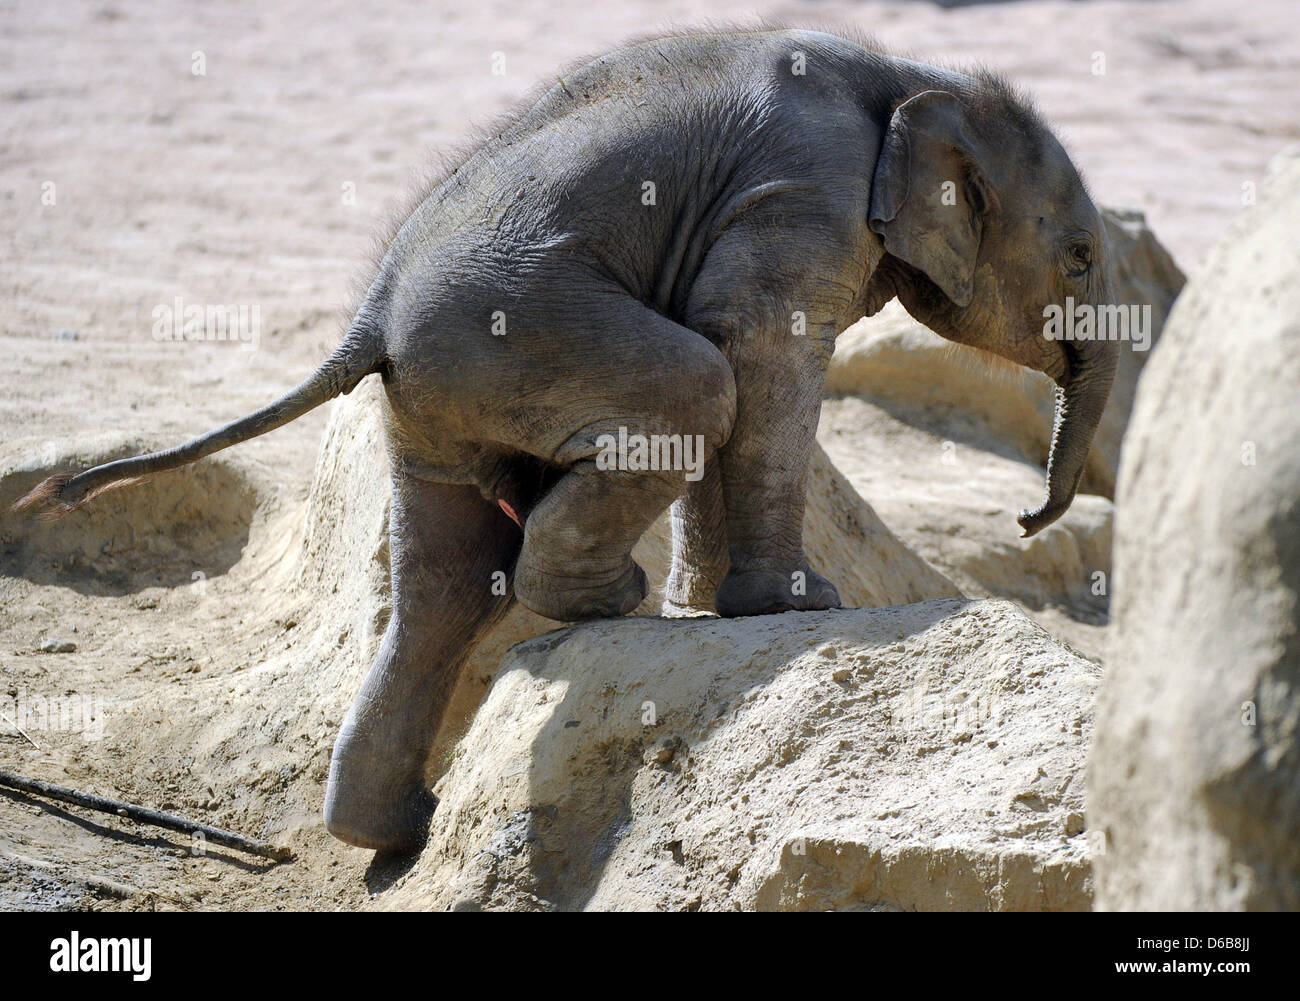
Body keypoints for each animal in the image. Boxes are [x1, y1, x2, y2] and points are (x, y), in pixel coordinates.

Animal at [17, 27, 1118, 847]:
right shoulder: (805, 195)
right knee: (692, 387)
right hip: (517, 330)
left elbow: (748, 359)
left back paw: (391, 829)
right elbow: (759, 350)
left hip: (438, 400)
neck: (913, 74)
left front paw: (712, 613)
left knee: (448, 575)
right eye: (1078, 253)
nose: (1028, 516)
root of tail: (369, 315)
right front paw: (796, 604)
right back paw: (600, 601)